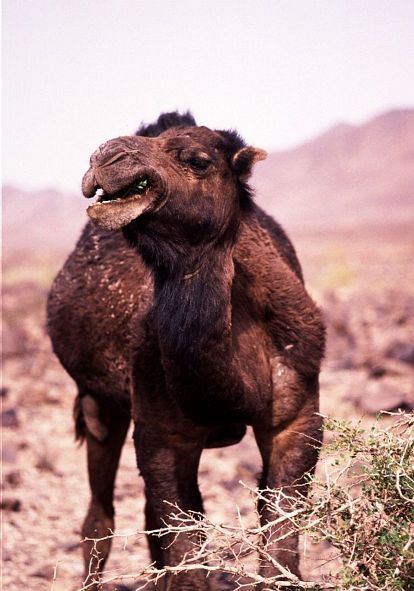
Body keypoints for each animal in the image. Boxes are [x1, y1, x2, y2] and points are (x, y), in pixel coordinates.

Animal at [48, 112, 326, 591]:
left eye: (197, 159)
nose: (107, 157)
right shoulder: (163, 432)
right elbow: (185, 551)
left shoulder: (297, 414)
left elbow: (280, 544)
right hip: (99, 402)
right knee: (100, 518)